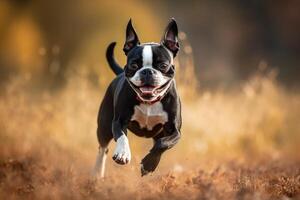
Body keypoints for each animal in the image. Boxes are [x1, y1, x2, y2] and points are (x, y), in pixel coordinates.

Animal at [94, 18, 182, 178]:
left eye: (163, 65)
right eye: (134, 65)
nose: (147, 71)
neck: (149, 102)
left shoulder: (175, 131)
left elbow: (163, 144)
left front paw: (149, 164)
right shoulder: (118, 121)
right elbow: (122, 137)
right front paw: (123, 154)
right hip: (104, 126)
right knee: (103, 148)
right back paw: (97, 173)